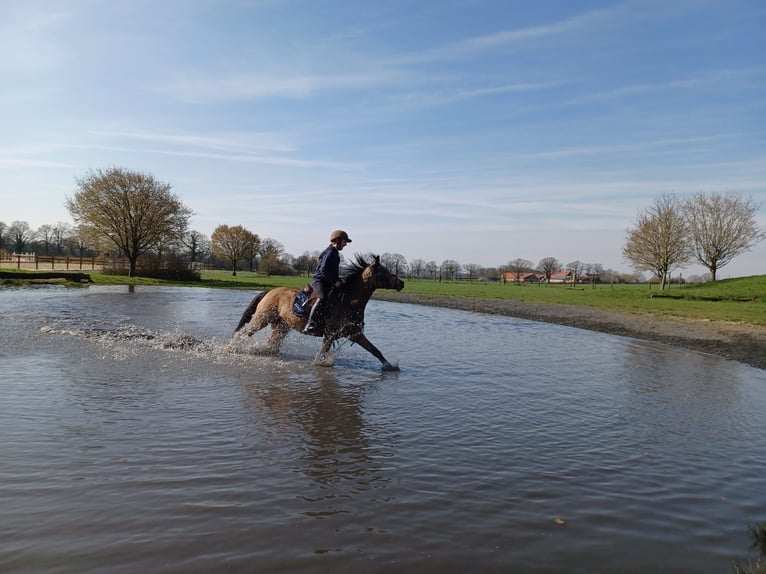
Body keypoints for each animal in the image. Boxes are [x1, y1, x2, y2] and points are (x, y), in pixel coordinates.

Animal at [232, 256, 404, 374]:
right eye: (383, 272)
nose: (401, 283)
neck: (350, 301)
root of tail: (269, 291)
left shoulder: (355, 334)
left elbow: (375, 350)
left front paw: (390, 367)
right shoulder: (330, 334)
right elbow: (323, 354)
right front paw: (320, 366)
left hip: (280, 326)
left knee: (271, 343)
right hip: (262, 320)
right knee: (244, 333)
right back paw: (231, 348)